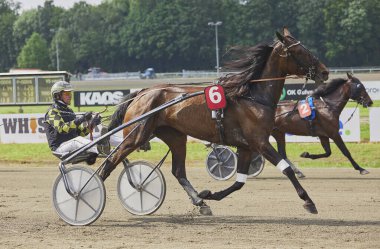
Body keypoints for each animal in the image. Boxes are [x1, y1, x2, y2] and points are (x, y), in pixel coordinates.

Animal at [101, 28, 330, 215]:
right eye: (300, 51)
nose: (325, 71)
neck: (252, 95)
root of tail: (142, 92)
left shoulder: (247, 146)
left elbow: (239, 182)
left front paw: (208, 195)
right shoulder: (260, 142)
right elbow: (286, 169)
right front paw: (308, 201)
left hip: (176, 137)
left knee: (178, 171)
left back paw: (200, 202)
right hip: (136, 135)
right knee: (111, 161)